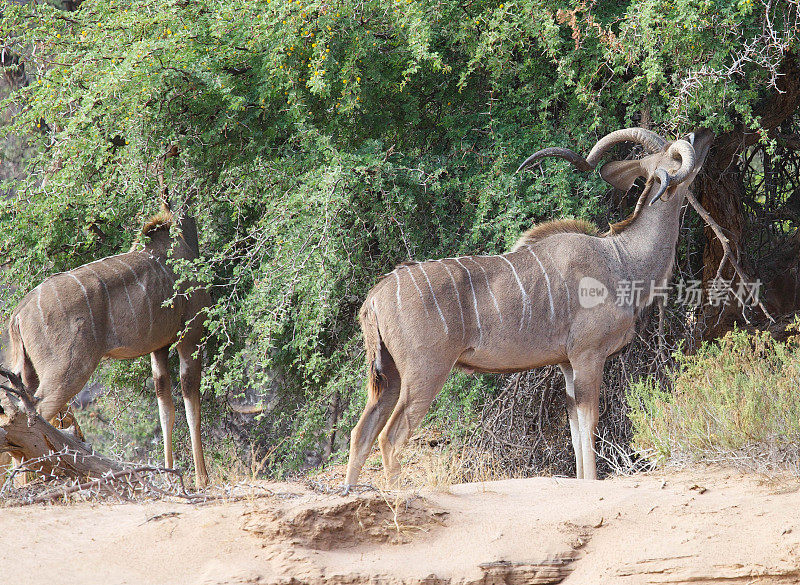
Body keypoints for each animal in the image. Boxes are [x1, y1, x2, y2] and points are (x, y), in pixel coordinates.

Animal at [6, 198, 211, 486]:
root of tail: (19, 314)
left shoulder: (158, 349)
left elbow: (166, 411)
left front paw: (170, 476)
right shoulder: (190, 338)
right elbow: (193, 409)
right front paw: (202, 480)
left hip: (30, 372)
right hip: (67, 372)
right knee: (32, 418)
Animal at [346, 128, 716, 488]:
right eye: (677, 157)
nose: (704, 133)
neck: (620, 258)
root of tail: (375, 297)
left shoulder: (567, 364)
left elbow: (575, 428)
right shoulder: (588, 356)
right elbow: (589, 422)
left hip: (391, 376)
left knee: (361, 432)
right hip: (426, 372)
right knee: (391, 437)